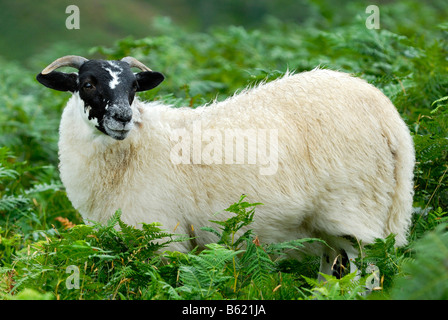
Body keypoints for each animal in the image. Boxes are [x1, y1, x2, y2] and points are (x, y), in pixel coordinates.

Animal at [36, 56, 414, 278]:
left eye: (133, 87)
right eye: (87, 84)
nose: (123, 117)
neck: (135, 149)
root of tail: (391, 122)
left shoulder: (163, 240)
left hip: (356, 212)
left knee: (369, 274)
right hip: (331, 227)